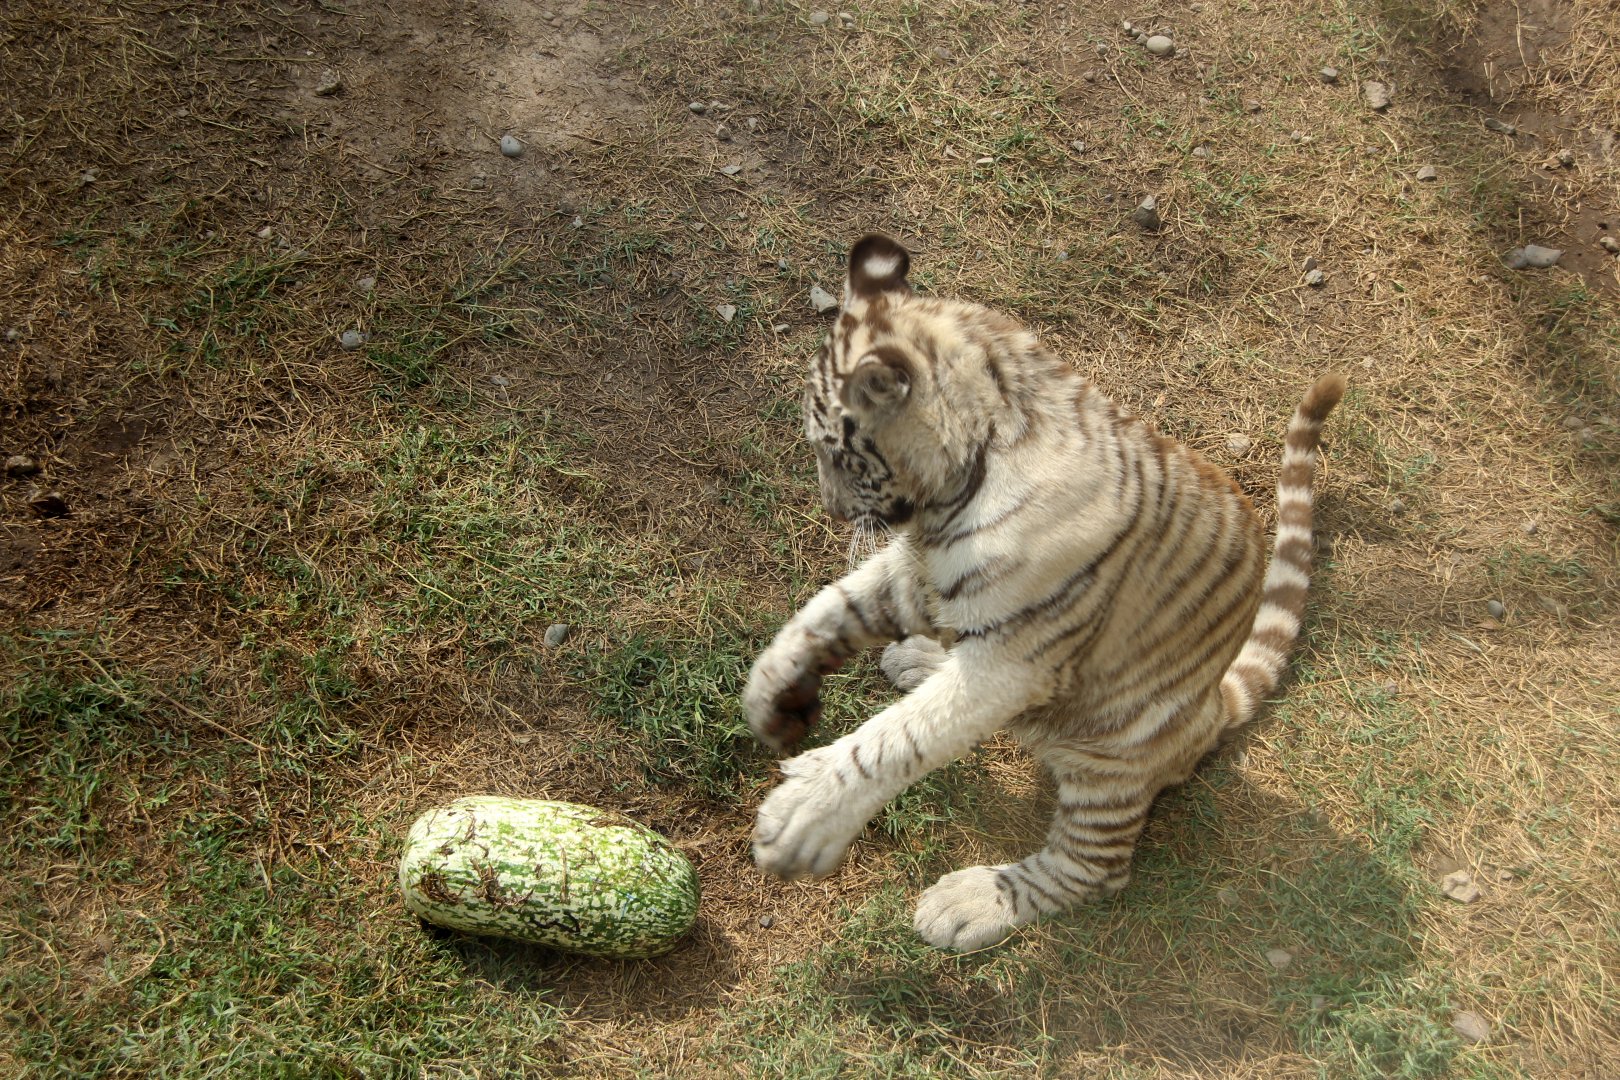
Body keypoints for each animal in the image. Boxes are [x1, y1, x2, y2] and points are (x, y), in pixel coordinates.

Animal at [743, 233, 1345, 951]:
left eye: (836, 454)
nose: (832, 509)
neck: (954, 487)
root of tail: (1209, 712)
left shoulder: (1012, 661)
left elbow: (899, 738)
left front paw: (804, 816)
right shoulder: (921, 575)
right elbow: (830, 609)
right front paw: (769, 689)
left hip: (1112, 759)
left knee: (1093, 867)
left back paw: (967, 904)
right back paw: (916, 658)